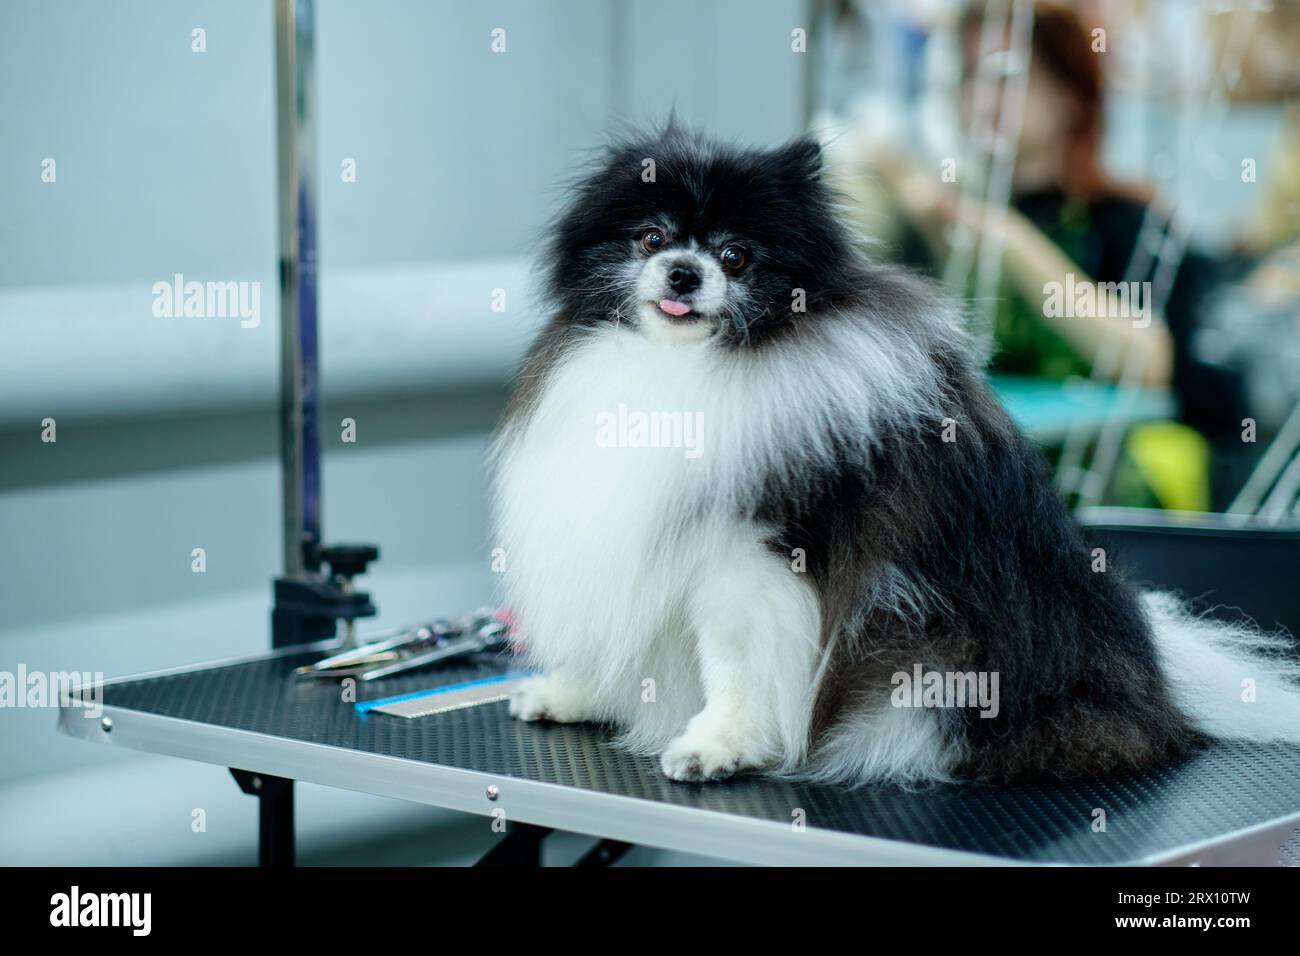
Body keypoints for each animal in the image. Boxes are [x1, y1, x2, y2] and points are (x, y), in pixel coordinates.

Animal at [488, 127, 1300, 785]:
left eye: (735, 256)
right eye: (652, 241)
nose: (685, 273)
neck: (686, 371)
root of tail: (1161, 687)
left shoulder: (752, 563)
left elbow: (735, 668)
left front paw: (719, 744)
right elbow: (620, 639)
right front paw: (575, 692)